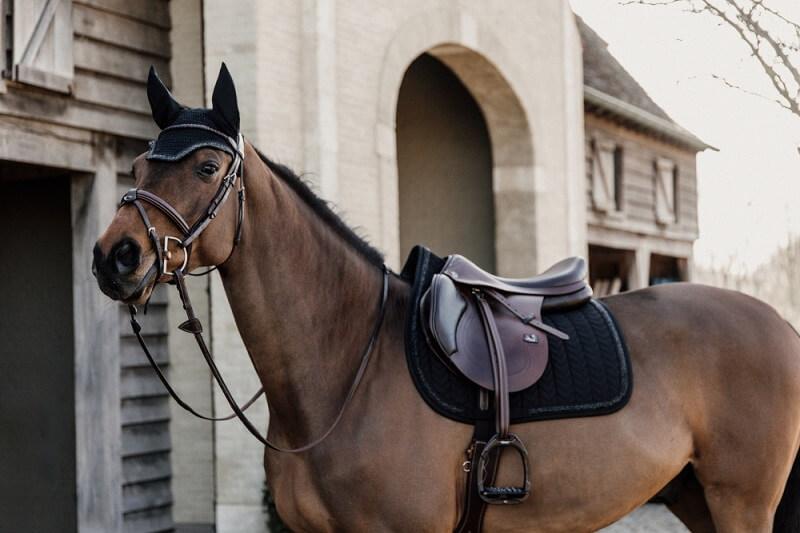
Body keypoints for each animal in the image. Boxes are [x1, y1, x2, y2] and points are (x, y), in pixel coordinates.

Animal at [94, 64, 800, 528]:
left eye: (207, 168)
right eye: (137, 167)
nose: (114, 257)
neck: (348, 370)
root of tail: (781, 325)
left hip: (741, 503)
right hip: (695, 497)